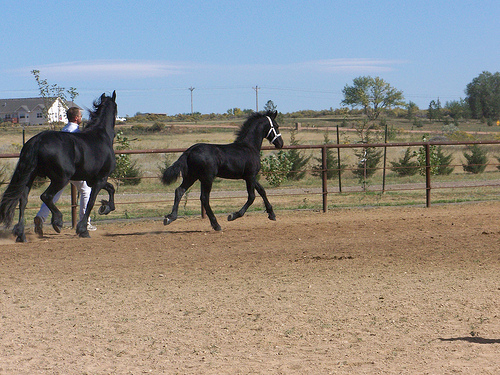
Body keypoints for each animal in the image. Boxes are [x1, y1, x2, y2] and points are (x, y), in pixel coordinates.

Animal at [0, 92, 118, 242]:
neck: (101, 136)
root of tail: (37, 140)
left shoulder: (93, 180)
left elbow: (111, 188)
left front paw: (105, 207)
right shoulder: (100, 179)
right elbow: (91, 202)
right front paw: (83, 229)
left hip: (30, 177)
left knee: (23, 201)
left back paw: (22, 234)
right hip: (61, 179)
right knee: (46, 196)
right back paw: (57, 221)